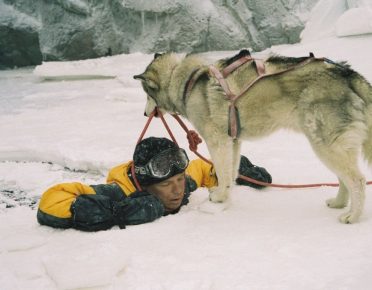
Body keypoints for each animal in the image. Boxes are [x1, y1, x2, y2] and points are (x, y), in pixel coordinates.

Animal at [135, 51, 372, 223]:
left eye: (147, 94)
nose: (145, 114)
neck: (187, 81)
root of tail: (349, 74)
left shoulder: (217, 141)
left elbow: (222, 172)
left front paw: (219, 197)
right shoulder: (233, 141)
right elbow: (230, 173)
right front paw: (226, 196)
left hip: (325, 145)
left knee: (357, 181)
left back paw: (353, 216)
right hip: (328, 146)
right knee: (344, 179)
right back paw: (339, 203)